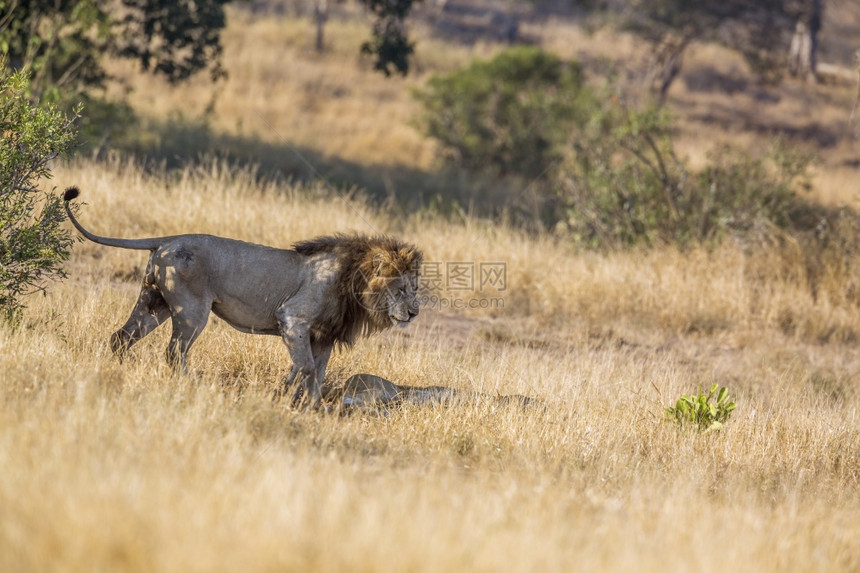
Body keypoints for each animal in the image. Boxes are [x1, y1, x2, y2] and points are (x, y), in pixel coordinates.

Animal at [62, 185, 422, 404]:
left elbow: (317, 374)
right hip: (192, 311)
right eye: (401, 288)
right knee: (174, 351)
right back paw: (191, 386)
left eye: (416, 287)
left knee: (121, 337)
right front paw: (286, 393)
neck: (353, 280)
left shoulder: (324, 335)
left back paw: (118, 370)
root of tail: (167, 239)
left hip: (155, 303)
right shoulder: (292, 318)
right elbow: (305, 367)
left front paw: (312, 406)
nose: (415, 312)